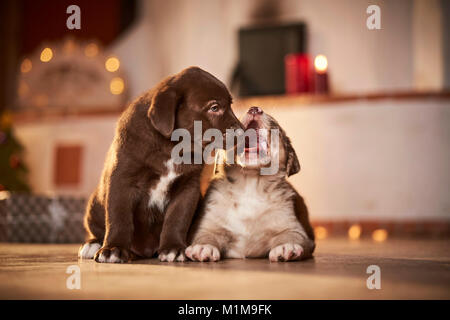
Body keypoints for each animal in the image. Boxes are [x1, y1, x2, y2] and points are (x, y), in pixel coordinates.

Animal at [79, 65, 244, 262]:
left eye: (231, 105)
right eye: (214, 107)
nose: (243, 130)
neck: (173, 148)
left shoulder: (188, 188)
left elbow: (177, 219)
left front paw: (173, 248)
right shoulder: (122, 180)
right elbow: (119, 217)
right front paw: (114, 248)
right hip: (94, 205)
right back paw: (93, 244)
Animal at [185, 106, 314, 262]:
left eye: (274, 125)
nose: (254, 109)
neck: (250, 183)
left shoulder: (294, 227)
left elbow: (291, 235)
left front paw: (286, 246)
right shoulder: (207, 224)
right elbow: (205, 235)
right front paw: (203, 247)